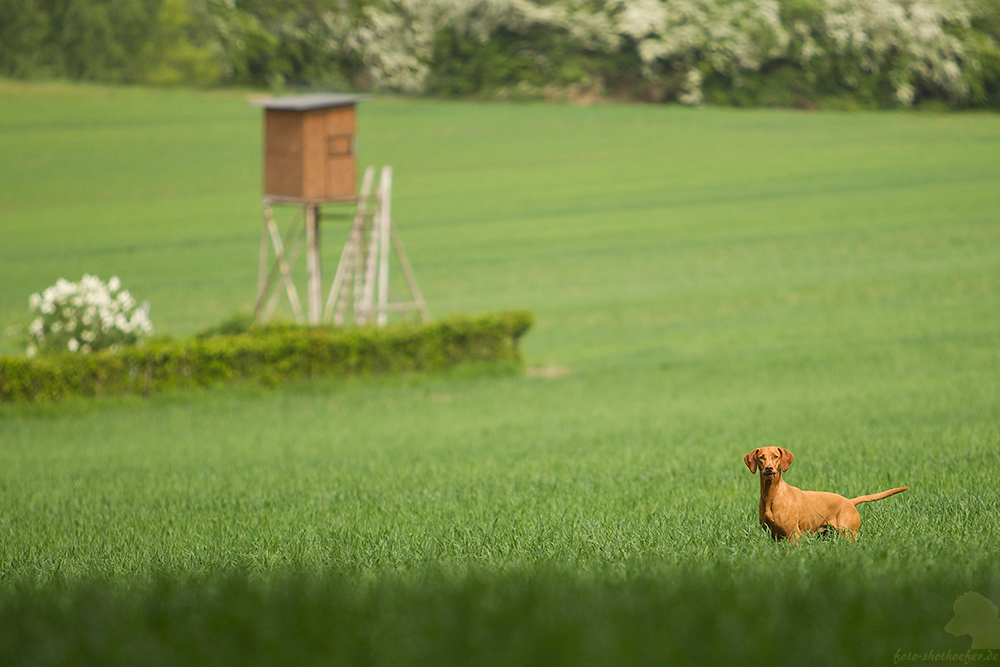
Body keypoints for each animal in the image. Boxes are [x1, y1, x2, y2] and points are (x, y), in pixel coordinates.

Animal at [744, 448, 908, 544]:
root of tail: (849, 501)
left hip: (848, 533)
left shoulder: (793, 535)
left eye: (776, 456)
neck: (771, 494)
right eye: (761, 457)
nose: (769, 469)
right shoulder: (774, 535)